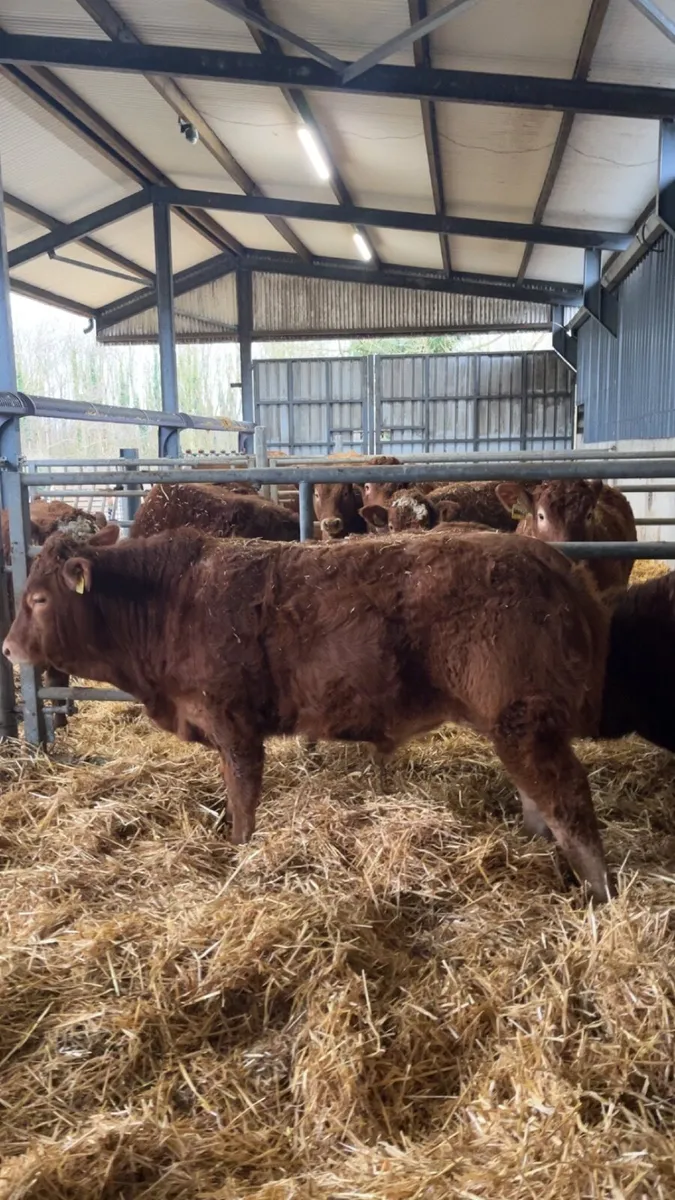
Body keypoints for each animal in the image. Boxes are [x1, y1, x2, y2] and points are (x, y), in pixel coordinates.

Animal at [4, 523, 613, 902]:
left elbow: (243, 799)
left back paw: (599, 890)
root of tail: (547, 559)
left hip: (523, 718)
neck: (167, 602)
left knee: (567, 797)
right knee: (539, 797)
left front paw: (239, 856)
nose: (8, 648)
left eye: (38, 598)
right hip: (519, 722)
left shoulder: (232, 722)